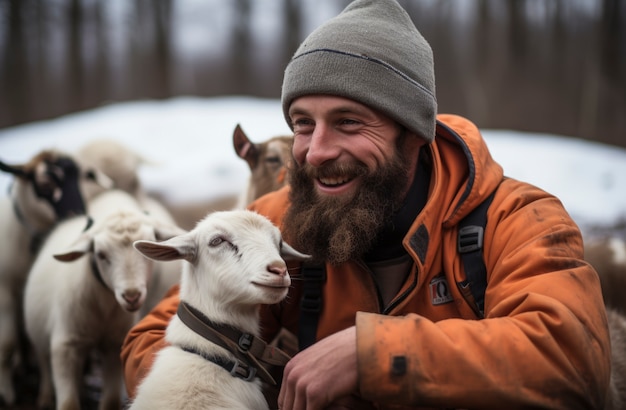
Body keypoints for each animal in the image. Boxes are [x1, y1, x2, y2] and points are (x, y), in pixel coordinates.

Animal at [0, 149, 109, 406]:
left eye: (81, 178)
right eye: (45, 184)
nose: (78, 216)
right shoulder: (5, 289)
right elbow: (7, 345)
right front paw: (7, 393)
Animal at [23, 189, 184, 410]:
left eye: (145, 252)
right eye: (100, 254)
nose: (131, 296)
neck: (104, 309)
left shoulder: (115, 344)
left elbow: (111, 400)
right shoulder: (65, 346)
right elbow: (68, 402)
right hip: (39, 334)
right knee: (44, 363)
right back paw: (45, 398)